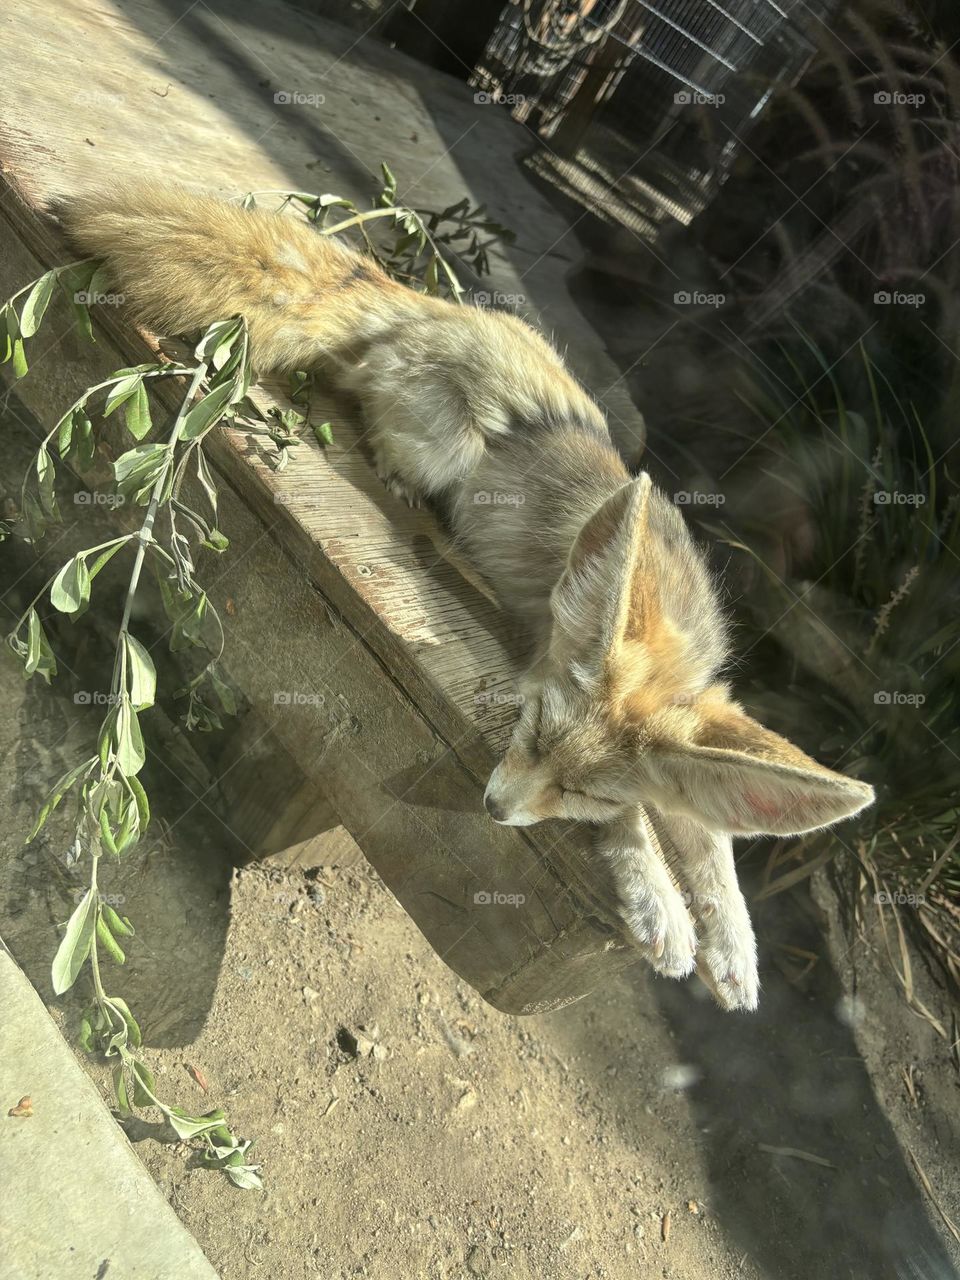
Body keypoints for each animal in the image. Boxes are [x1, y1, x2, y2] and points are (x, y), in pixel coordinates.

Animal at [56, 186, 875, 1008]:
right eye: (534, 735)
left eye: (583, 792)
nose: (493, 808)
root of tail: (430, 305)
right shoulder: (536, 662)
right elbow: (645, 827)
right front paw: (662, 909)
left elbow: (713, 843)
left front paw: (734, 945)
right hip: (447, 448)